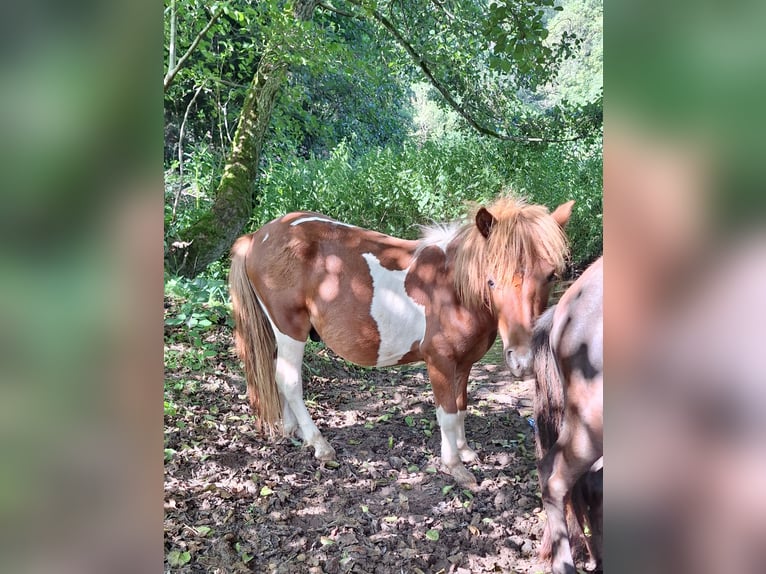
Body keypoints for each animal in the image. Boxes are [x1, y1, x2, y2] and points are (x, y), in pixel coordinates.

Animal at [231, 197, 572, 486]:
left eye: (551, 276)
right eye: (491, 280)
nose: (523, 360)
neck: (453, 290)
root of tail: (257, 237)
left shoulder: (463, 363)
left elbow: (461, 406)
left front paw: (465, 451)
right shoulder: (439, 363)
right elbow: (447, 414)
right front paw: (455, 466)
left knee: (279, 376)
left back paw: (293, 431)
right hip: (290, 329)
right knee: (289, 381)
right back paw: (320, 445)